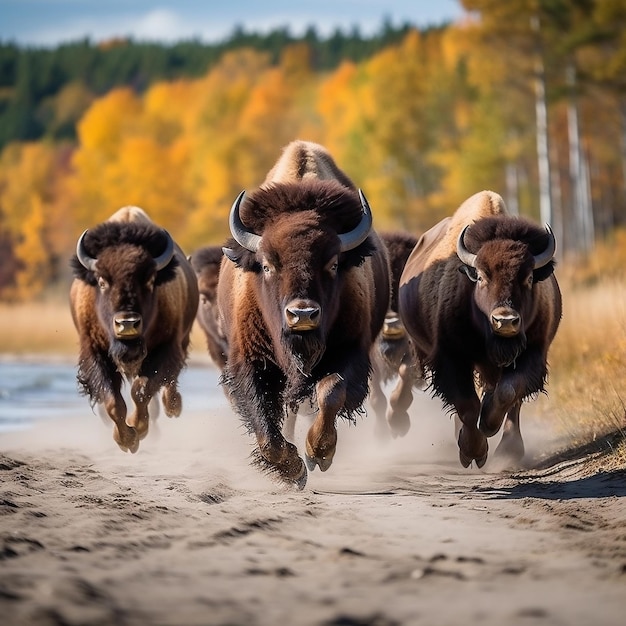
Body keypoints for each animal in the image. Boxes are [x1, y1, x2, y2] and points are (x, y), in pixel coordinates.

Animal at [69, 207, 199, 450]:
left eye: (149, 280)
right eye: (102, 281)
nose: (127, 323)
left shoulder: (167, 348)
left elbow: (141, 390)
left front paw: (138, 429)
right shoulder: (95, 352)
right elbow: (113, 401)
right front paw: (126, 439)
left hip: (182, 339)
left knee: (168, 382)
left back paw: (173, 406)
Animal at [217, 139, 388, 486]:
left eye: (333, 264)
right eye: (267, 265)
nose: (303, 314)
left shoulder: (351, 352)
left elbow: (331, 391)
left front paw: (317, 452)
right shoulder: (252, 362)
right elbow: (266, 429)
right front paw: (293, 469)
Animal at [398, 190, 564, 468]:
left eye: (529, 277)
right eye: (482, 276)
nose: (505, 320)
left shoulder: (533, 354)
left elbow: (509, 392)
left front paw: (489, 425)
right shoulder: (452, 358)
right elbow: (467, 406)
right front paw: (473, 452)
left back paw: (509, 449)